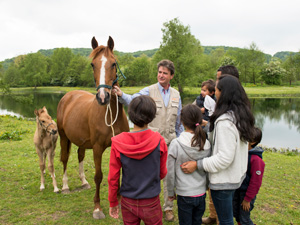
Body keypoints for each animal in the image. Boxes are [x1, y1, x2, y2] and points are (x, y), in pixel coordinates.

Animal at [56, 36, 129, 219]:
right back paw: (65, 186)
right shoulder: (97, 148)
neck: (110, 114)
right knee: (65, 158)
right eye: (92, 64)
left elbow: (118, 174)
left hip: (81, 141)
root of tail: (68, 95)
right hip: (63, 136)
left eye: (113, 63)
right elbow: (99, 176)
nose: (103, 97)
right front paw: (97, 208)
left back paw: (83, 182)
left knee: (80, 155)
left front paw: (118, 203)